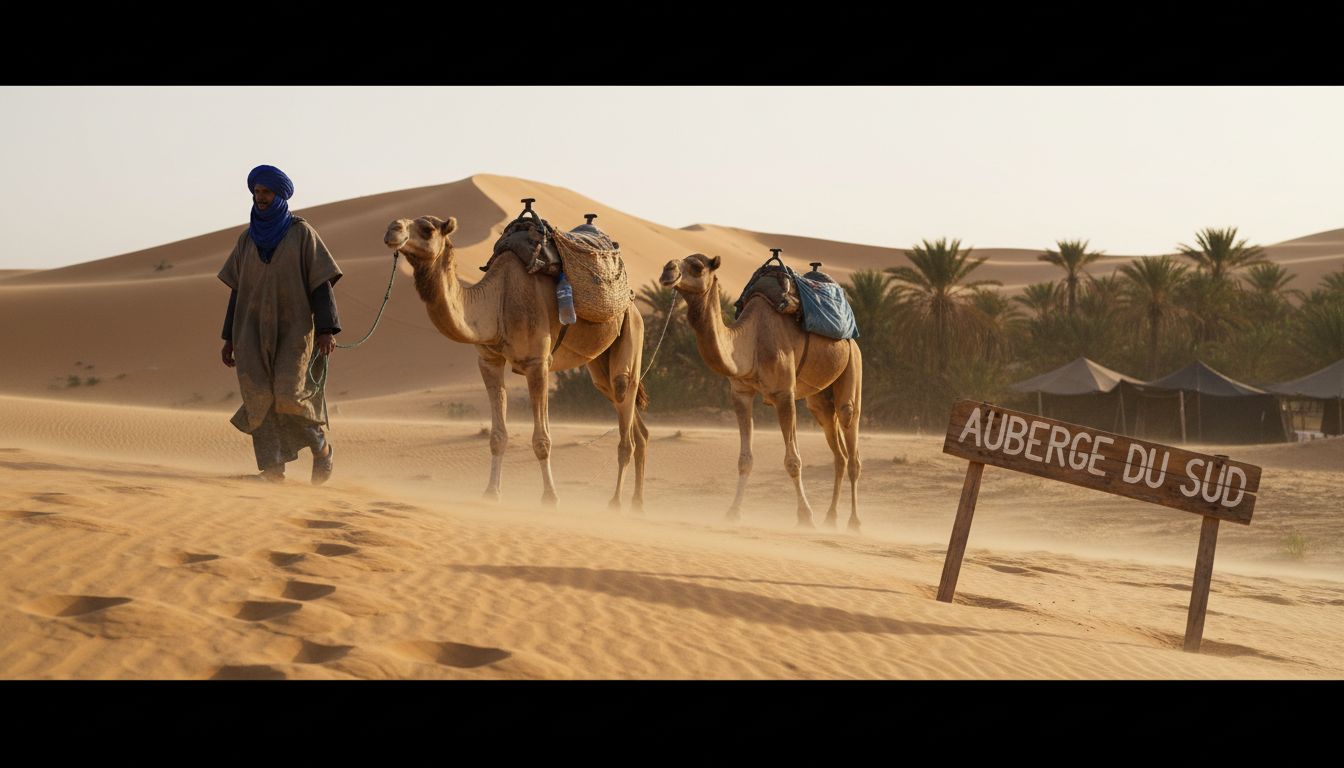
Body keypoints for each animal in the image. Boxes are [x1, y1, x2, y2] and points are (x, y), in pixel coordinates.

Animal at [385, 215, 648, 510]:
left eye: (427, 229)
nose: (393, 229)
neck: (497, 302)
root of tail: (632, 302)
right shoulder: (489, 360)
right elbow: (497, 436)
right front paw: (491, 492)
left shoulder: (537, 362)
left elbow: (542, 440)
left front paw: (550, 497)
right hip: (599, 364)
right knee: (631, 418)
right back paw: (637, 502)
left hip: (632, 331)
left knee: (625, 406)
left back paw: (616, 502)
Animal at [660, 253, 863, 530]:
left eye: (698, 267)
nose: (667, 270)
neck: (751, 342)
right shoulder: (741, 393)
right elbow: (745, 460)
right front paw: (733, 512)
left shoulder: (784, 394)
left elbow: (793, 461)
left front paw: (805, 516)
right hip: (819, 399)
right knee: (838, 453)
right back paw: (830, 518)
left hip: (853, 365)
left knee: (851, 441)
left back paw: (854, 522)